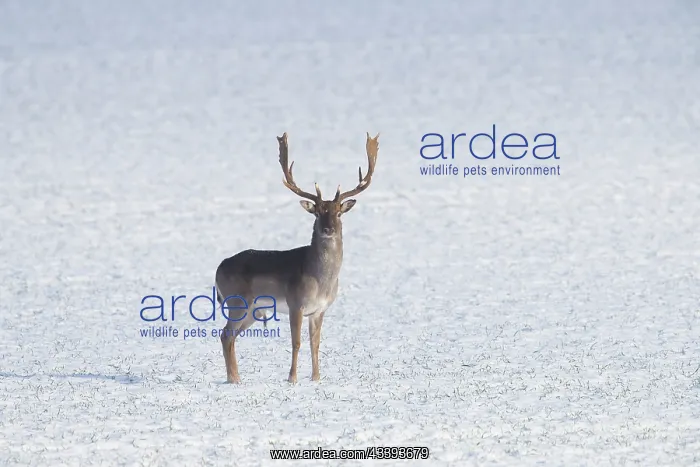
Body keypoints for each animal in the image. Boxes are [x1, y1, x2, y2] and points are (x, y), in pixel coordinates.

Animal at [215, 132, 380, 384]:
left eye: (338, 213)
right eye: (318, 212)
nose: (328, 229)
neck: (322, 281)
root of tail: (217, 269)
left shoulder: (319, 310)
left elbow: (315, 344)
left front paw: (316, 378)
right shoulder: (296, 303)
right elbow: (297, 343)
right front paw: (292, 379)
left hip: (251, 310)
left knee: (231, 337)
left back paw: (236, 378)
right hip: (237, 301)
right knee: (225, 335)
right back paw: (234, 380)